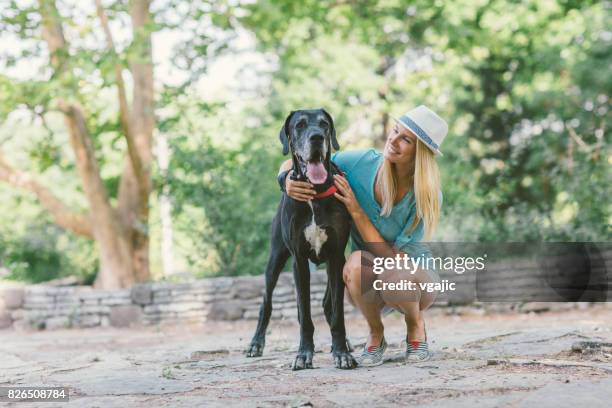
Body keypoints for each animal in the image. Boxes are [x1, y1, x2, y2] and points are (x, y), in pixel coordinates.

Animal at [245, 108, 356, 370]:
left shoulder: (336, 255)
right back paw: (256, 343)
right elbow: (305, 313)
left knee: (327, 303)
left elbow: (337, 312)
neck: (314, 193)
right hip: (275, 259)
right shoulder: (299, 260)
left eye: (324, 124)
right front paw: (304, 353)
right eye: (300, 125)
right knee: (266, 303)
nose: (317, 137)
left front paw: (341, 352)